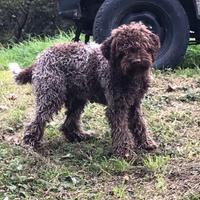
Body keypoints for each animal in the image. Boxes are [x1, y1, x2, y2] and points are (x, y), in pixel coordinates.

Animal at [10, 22, 160, 159]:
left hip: (77, 98)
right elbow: (121, 130)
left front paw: (146, 143)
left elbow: (140, 124)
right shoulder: (117, 107)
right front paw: (124, 152)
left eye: (143, 45)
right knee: (37, 120)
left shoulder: (134, 104)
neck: (130, 76)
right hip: (50, 96)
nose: (136, 61)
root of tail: (39, 58)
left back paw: (79, 136)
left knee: (68, 123)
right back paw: (30, 142)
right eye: (123, 50)